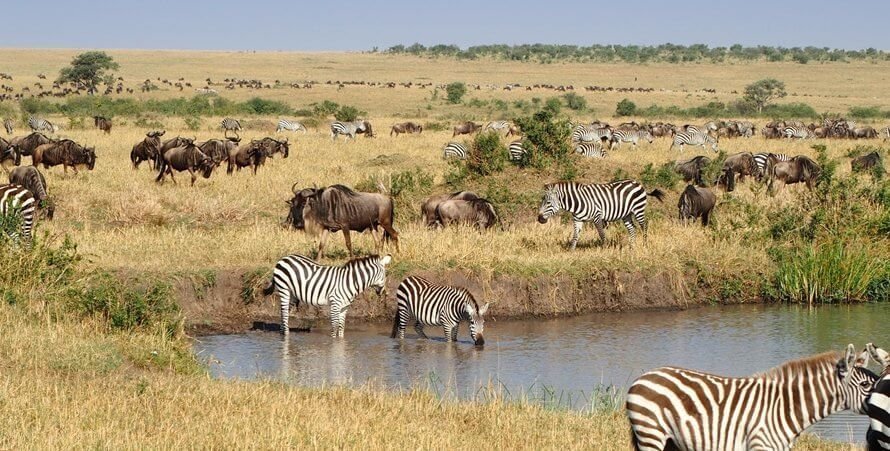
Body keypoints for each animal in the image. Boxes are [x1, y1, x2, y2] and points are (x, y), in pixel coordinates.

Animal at [260, 252, 392, 338]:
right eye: (385, 275)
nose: (383, 292)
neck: (350, 281)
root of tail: (284, 258)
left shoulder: (344, 307)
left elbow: (341, 327)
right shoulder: (335, 304)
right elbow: (334, 326)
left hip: (292, 294)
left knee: (284, 313)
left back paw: (283, 331)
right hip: (284, 290)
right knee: (284, 313)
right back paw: (286, 336)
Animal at [532, 180, 664, 251]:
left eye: (548, 203)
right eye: (542, 201)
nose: (539, 219)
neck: (578, 202)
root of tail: (638, 184)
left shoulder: (597, 216)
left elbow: (602, 234)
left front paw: (605, 248)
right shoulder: (577, 220)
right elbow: (575, 236)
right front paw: (571, 251)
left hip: (638, 210)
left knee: (644, 226)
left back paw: (645, 245)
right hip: (626, 215)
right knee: (632, 229)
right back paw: (632, 248)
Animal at [624, 344, 876, 450]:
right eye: (865, 384)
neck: (785, 406)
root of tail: (643, 376)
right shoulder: (760, 445)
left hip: (670, 441)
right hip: (650, 434)